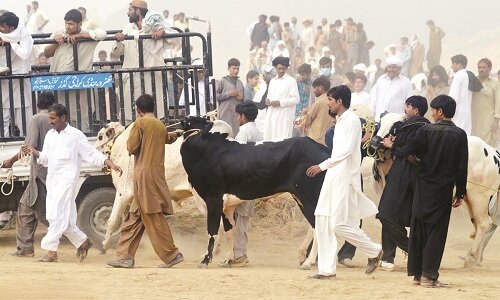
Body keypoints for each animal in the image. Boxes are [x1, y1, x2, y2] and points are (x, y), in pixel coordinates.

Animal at [182, 117, 330, 268]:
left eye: (187, 121)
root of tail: (322, 148)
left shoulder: (214, 199)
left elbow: (212, 232)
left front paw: (205, 260)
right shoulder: (227, 207)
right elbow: (229, 231)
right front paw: (227, 260)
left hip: (310, 197)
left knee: (318, 227)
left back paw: (309, 262)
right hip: (302, 199)